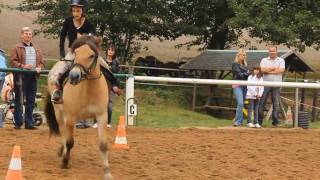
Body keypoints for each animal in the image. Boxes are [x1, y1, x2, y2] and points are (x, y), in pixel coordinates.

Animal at [44, 35, 112, 180]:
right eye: (76, 53)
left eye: (92, 55)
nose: (74, 76)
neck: (89, 90)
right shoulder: (70, 116)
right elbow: (70, 142)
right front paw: (64, 162)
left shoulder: (102, 116)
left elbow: (103, 145)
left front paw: (107, 172)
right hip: (59, 113)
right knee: (63, 132)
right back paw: (63, 153)